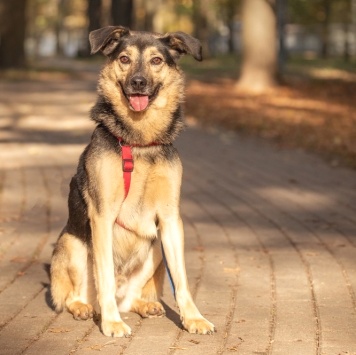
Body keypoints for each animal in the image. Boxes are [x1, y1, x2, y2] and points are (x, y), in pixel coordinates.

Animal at [50, 26, 216, 338]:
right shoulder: (102, 216)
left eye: (156, 61)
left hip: (156, 248)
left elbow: (182, 281)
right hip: (72, 243)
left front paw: (193, 318)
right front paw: (112, 323)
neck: (140, 142)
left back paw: (145, 305)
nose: (138, 83)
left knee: (131, 297)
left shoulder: (170, 219)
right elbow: (104, 276)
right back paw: (86, 308)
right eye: (124, 59)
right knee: (74, 296)